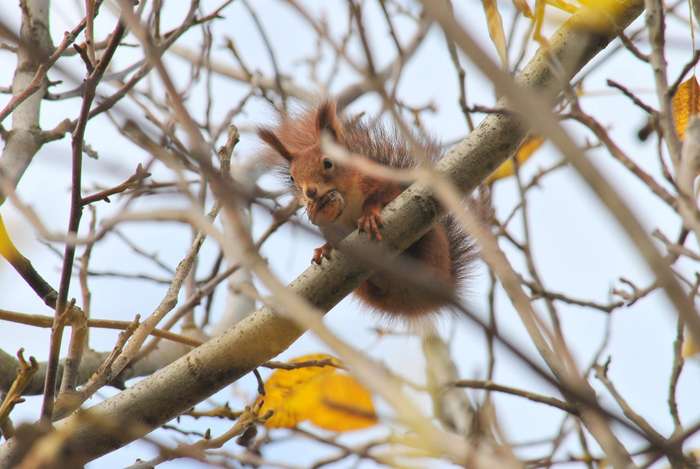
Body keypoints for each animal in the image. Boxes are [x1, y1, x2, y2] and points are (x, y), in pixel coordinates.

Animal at [258, 99, 476, 318]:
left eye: (328, 163)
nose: (310, 192)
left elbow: (381, 196)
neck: (346, 197)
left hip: (430, 244)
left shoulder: (380, 181)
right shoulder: (329, 225)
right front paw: (324, 247)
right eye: (292, 178)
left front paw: (369, 215)